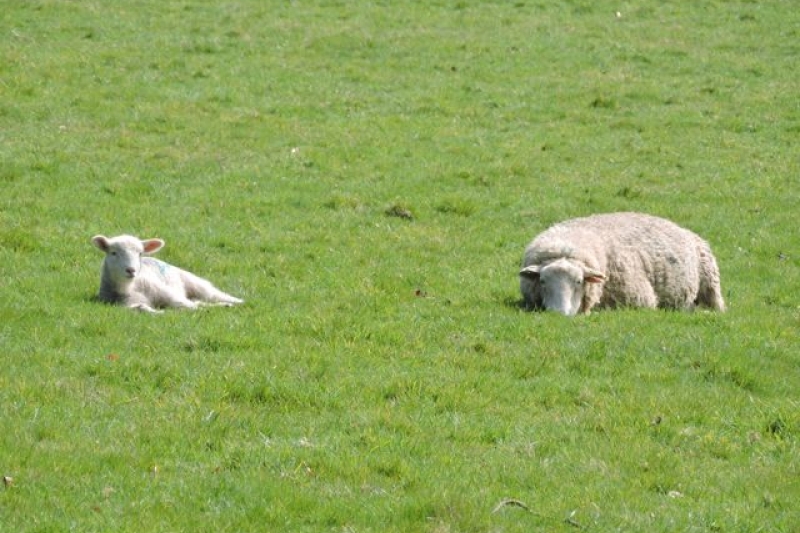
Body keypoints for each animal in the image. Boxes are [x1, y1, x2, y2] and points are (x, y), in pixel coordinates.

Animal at [91, 234, 243, 313]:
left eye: (140, 253)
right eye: (113, 253)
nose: (131, 270)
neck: (129, 288)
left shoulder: (165, 292)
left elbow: (187, 306)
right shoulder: (122, 305)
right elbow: (141, 308)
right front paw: (159, 312)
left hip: (193, 282)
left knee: (212, 295)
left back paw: (236, 302)